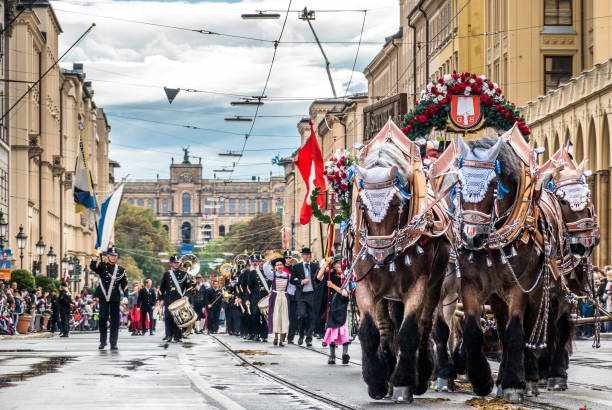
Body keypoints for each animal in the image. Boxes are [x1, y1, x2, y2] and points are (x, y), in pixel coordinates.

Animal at [350, 140, 454, 400]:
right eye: (362, 205)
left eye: (397, 203)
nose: (380, 253)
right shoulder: (365, 285)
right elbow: (369, 331)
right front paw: (377, 380)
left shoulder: (418, 284)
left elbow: (409, 331)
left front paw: (403, 381)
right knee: (387, 326)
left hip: (436, 284)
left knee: (425, 325)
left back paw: (422, 374)